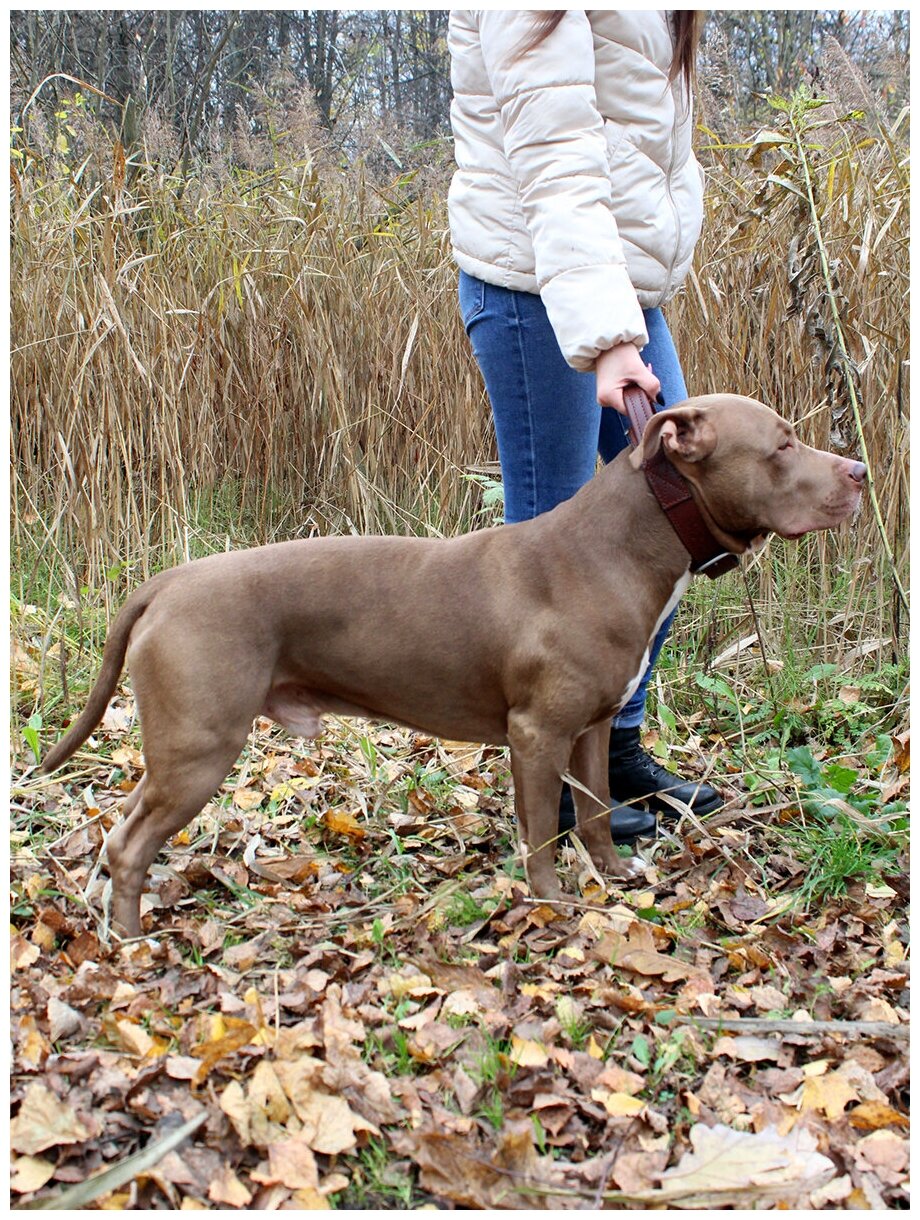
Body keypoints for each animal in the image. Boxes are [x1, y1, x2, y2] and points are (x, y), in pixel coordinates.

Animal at [41, 400, 858, 932]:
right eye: (783, 446)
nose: (858, 469)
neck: (622, 546)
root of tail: (168, 582)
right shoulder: (536, 735)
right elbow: (542, 829)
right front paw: (553, 902)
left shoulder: (590, 729)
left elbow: (594, 811)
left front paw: (614, 876)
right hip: (200, 748)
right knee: (129, 844)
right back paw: (133, 941)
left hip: (182, 747)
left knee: (125, 831)